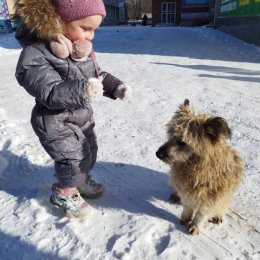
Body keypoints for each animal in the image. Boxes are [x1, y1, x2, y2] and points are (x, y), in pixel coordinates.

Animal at [156, 99, 244, 236]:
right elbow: (187, 206)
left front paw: (195, 226)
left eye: (182, 142)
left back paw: (218, 215)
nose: (158, 154)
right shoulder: (185, 191)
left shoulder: (212, 197)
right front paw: (185, 217)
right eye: (170, 135)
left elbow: (201, 214)